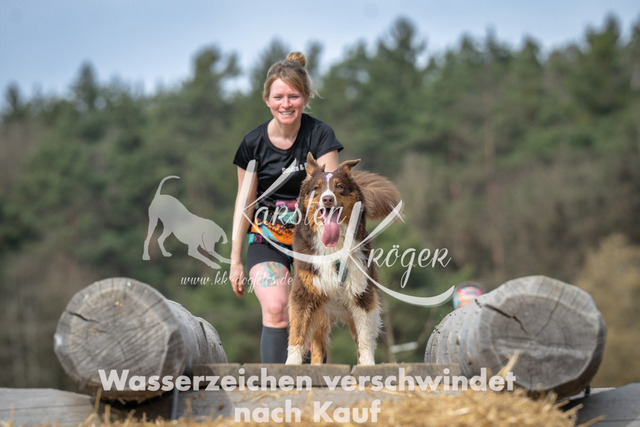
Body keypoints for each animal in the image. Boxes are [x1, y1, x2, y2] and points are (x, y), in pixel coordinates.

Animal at [285, 153, 402, 365]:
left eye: (339, 186)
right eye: (317, 188)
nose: (327, 198)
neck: (334, 246)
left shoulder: (362, 294)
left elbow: (365, 338)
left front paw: (367, 365)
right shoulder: (303, 292)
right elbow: (297, 333)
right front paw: (292, 365)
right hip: (320, 315)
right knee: (317, 347)